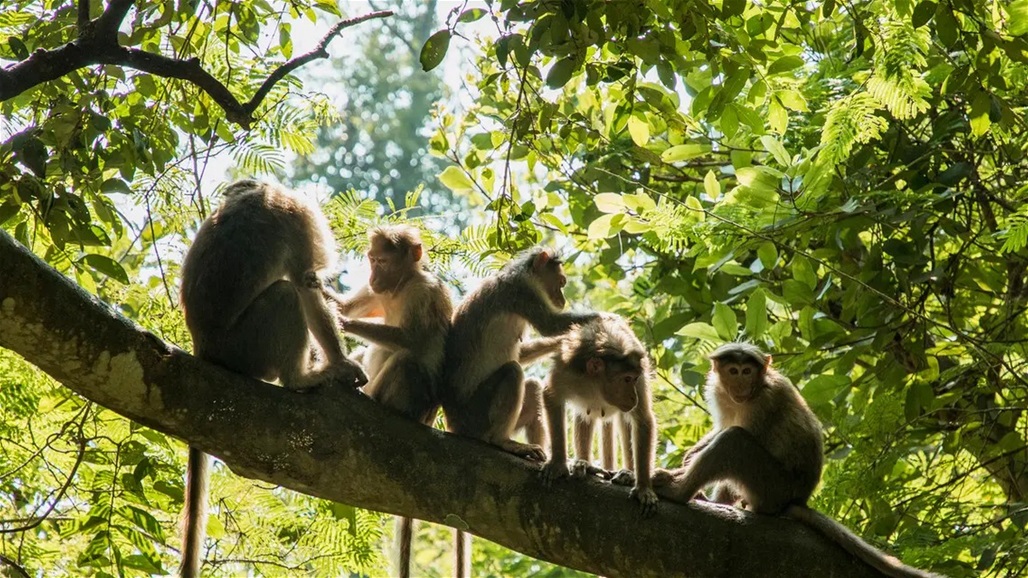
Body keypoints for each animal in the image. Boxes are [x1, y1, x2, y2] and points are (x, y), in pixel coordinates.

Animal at [178, 178, 368, 575]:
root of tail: (203, 348)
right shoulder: (300, 216)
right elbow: (306, 283)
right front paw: (343, 364)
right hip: (248, 347)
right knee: (286, 295)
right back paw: (302, 378)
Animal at [538, 314, 657, 512]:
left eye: (633, 379)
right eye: (626, 379)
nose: (634, 397)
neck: (596, 384)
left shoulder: (640, 379)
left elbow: (643, 420)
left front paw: (643, 488)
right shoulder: (566, 370)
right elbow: (551, 396)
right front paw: (558, 463)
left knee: (626, 421)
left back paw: (628, 473)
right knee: (584, 415)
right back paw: (583, 462)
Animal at [653, 341, 941, 575]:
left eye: (747, 372)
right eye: (733, 371)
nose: (741, 384)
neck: (754, 390)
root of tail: (798, 499)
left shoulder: (766, 401)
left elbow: (738, 433)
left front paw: (677, 473)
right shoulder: (721, 394)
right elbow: (720, 427)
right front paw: (688, 457)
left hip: (772, 488)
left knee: (734, 442)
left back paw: (680, 492)